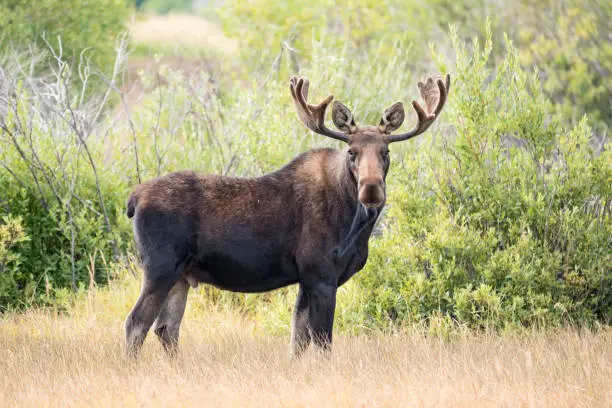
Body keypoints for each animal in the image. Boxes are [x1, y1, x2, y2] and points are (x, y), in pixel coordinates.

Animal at [124, 73, 450, 356]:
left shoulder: (306, 280)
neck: (356, 226)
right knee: (136, 323)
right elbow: (322, 342)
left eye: (386, 152)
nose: (371, 189)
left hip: (181, 275)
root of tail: (133, 199)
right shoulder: (320, 276)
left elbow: (298, 341)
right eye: (352, 152)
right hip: (160, 267)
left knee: (166, 328)